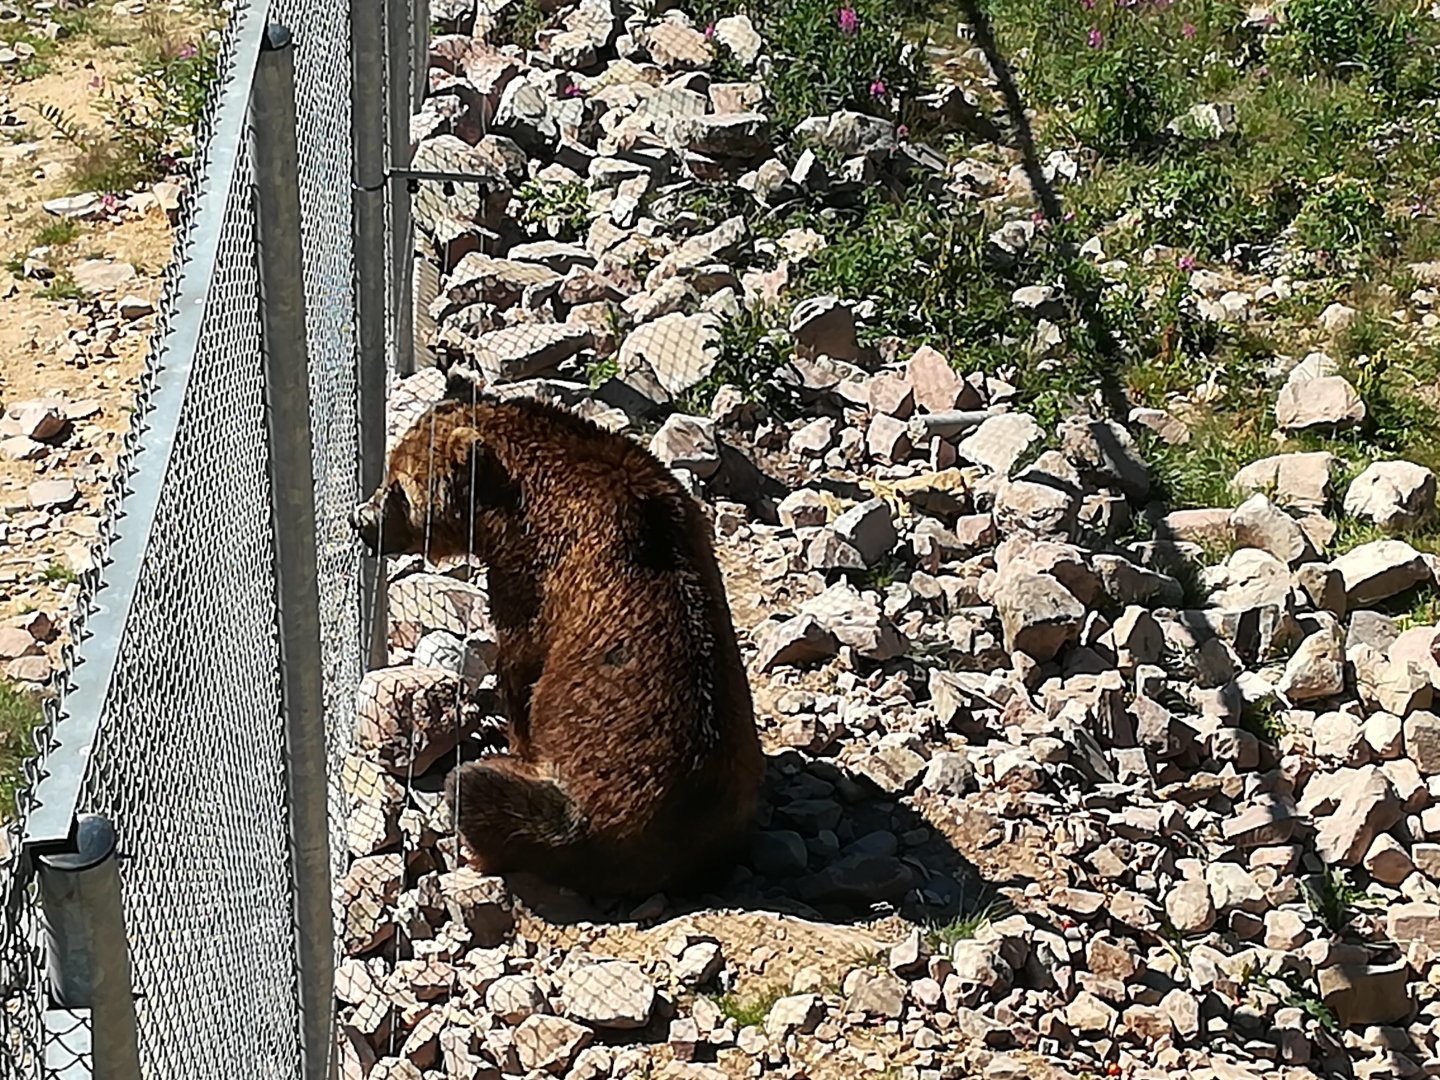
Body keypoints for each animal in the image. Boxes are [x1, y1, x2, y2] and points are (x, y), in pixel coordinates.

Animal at [351, 390, 765, 898]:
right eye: (389, 473)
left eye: (399, 488)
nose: (360, 520)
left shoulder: (534, 583)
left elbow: (521, 675)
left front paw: (508, 735)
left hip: (579, 821)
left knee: (476, 789)